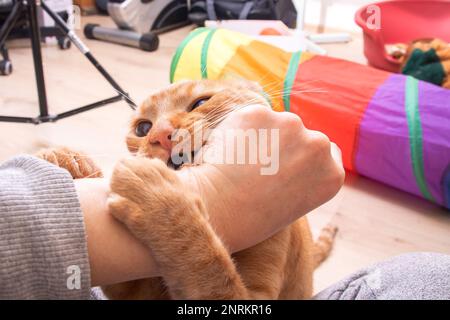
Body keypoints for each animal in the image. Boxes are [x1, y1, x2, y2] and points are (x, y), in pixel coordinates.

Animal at [37, 79, 336, 298]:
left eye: (201, 103)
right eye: (143, 128)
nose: (161, 135)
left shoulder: (252, 296)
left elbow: (206, 261)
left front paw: (160, 200)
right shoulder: (137, 292)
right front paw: (64, 161)